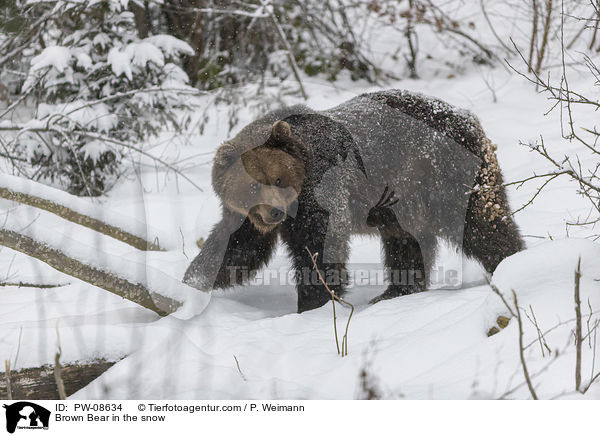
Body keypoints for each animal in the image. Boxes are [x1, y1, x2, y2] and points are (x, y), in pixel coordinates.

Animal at [184, 90, 524, 312]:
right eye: (254, 186)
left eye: (279, 179)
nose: (276, 213)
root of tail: (468, 117)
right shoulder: (246, 217)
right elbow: (236, 249)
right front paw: (190, 284)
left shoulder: (322, 196)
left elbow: (319, 250)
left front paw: (313, 304)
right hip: (403, 202)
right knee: (405, 242)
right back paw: (395, 291)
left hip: (444, 177)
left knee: (480, 224)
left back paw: (511, 262)